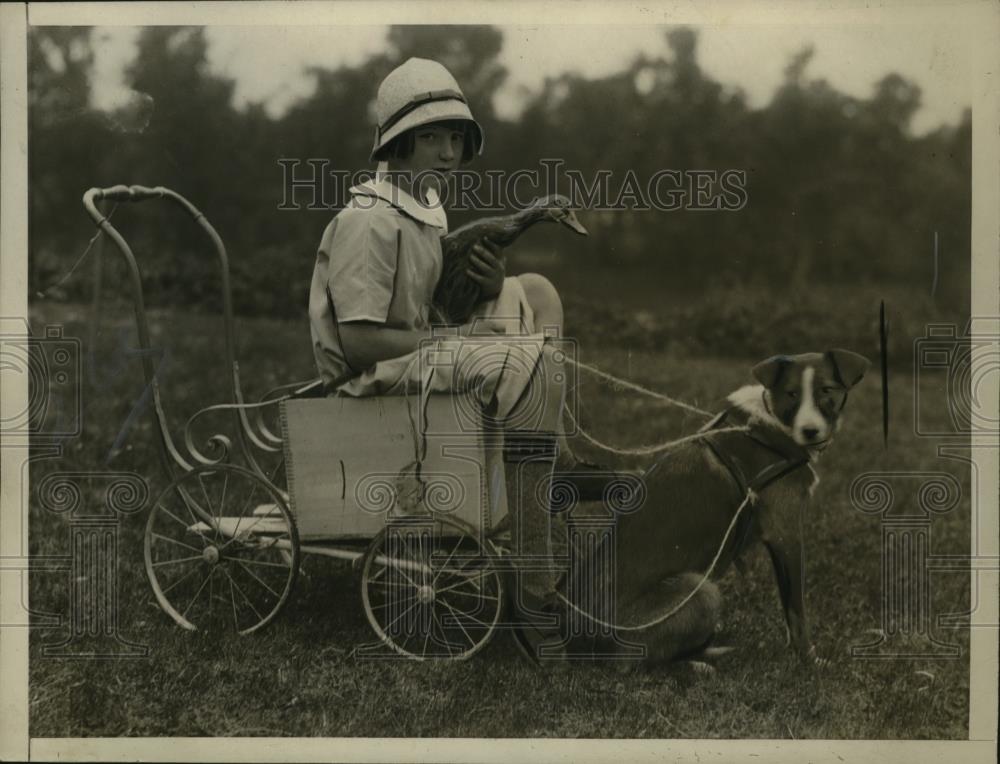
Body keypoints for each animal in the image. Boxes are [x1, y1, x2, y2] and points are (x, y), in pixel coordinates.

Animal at [576, 350, 872, 664]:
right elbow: (796, 611)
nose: (810, 431)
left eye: (826, 390)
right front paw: (808, 660)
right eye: (791, 393)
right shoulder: (786, 534)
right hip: (702, 590)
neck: (770, 425)